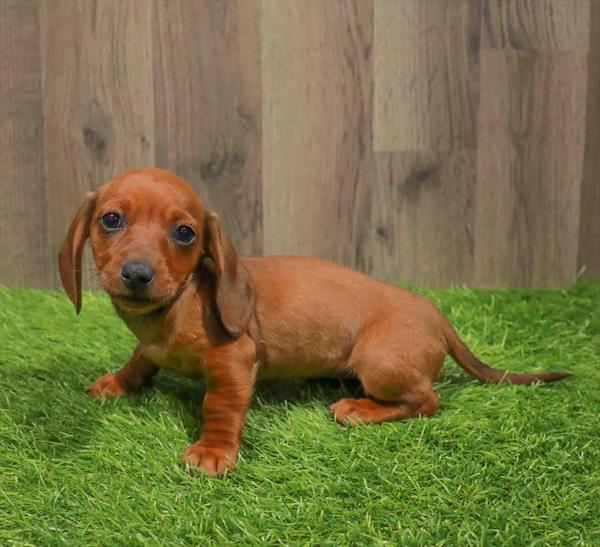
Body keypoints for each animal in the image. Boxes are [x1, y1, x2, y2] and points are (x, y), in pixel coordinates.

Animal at [58, 169, 568, 478]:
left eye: (185, 233)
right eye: (111, 219)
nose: (137, 274)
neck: (177, 303)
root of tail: (437, 315)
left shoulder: (234, 360)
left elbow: (220, 407)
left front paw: (214, 450)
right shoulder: (150, 346)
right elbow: (140, 360)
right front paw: (118, 382)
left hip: (378, 364)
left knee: (426, 400)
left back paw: (361, 410)